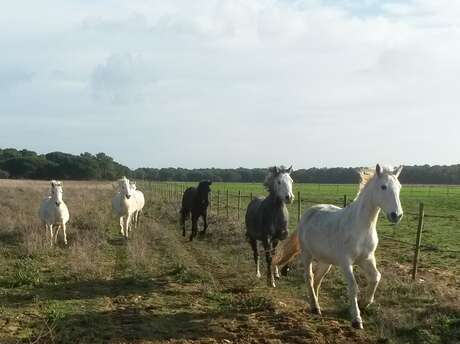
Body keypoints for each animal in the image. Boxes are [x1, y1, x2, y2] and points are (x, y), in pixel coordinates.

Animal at [274, 165, 402, 330]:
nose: (396, 215)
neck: (360, 227)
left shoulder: (366, 259)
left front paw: (364, 304)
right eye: (383, 187)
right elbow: (353, 286)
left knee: (317, 279)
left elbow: (376, 277)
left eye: (399, 187)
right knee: (309, 277)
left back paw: (315, 303)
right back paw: (315, 307)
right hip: (306, 254)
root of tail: (308, 213)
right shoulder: (346, 262)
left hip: (326, 261)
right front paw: (357, 319)